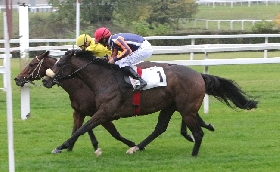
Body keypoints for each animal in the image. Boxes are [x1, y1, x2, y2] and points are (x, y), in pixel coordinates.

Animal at [42, 50, 258, 157]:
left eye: (61, 64)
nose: (45, 80)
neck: (104, 78)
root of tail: (199, 75)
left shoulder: (105, 111)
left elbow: (83, 128)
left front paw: (60, 147)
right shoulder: (102, 112)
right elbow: (84, 128)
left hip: (186, 108)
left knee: (197, 133)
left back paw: (193, 154)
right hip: (171, 106)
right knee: (160, 128)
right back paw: (137, 147)